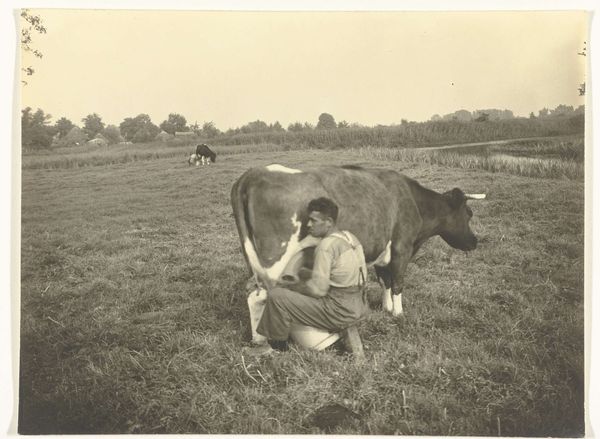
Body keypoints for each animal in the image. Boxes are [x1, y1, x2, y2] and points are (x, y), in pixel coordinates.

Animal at [231, 164, 483, 344]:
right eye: (469, 213)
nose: (475, 242)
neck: (413, 201)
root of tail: (253, 173)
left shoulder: (383, 249)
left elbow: (384, 281)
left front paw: (387, 308)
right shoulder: (402, 247)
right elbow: (398, 282)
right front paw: (398, 314)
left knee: (253, 292)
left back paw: (258, 339)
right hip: (274, 258)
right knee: (261, 296)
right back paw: (265, 341)